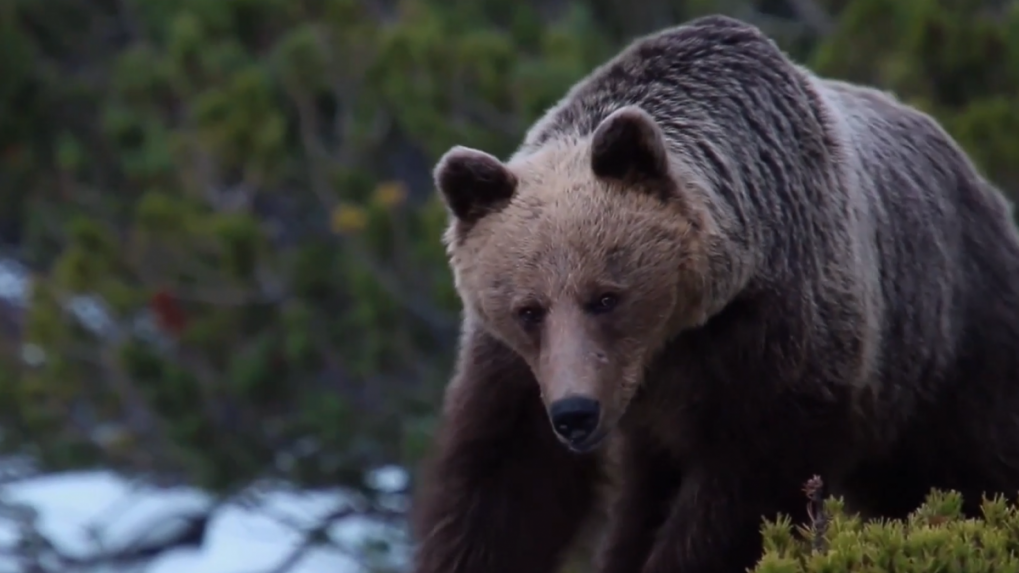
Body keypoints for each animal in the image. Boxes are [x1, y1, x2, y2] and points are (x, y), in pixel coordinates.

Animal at [409, 12, 1019, 570]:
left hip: (948, 341)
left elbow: (745, 492)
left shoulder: (775, 336)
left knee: (972, 464)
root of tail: (977, 179)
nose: (575, 412)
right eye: (529, 310)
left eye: (606, 297)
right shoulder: (517, 368)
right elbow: (506, 481)